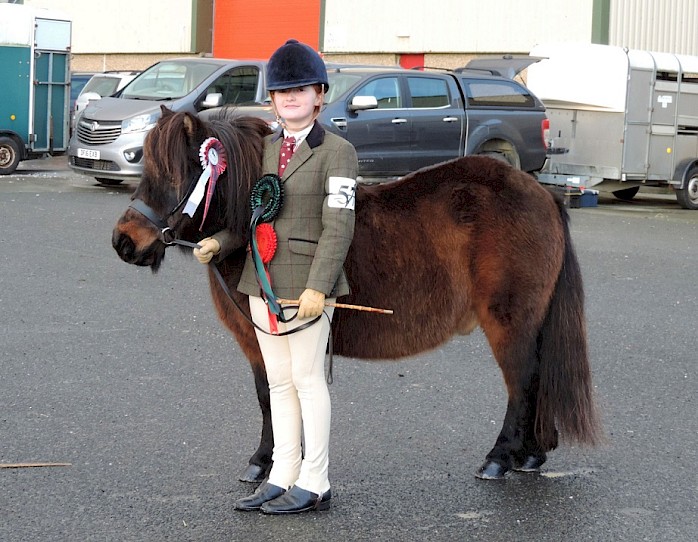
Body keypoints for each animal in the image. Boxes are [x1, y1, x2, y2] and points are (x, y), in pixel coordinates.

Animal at [113, 108, 600, 482]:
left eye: (175, 176)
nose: (123, 242)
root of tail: (542, 193)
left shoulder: (264, 338)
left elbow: (270, 397)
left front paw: (266, 463)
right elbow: (273, 396)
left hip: (510, 322)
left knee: (523, 381)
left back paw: (500, 459)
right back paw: (530, 455)